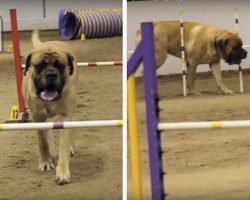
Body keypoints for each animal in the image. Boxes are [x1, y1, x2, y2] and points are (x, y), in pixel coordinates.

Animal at [22, 30, 77, 185]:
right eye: (40, 65)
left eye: (61, 65)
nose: (51, 74)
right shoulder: (37, 116)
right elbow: (43, 141)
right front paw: (46, 162)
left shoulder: (66, 116)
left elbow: (64, 144)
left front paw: (62, 172)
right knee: (49, 131)